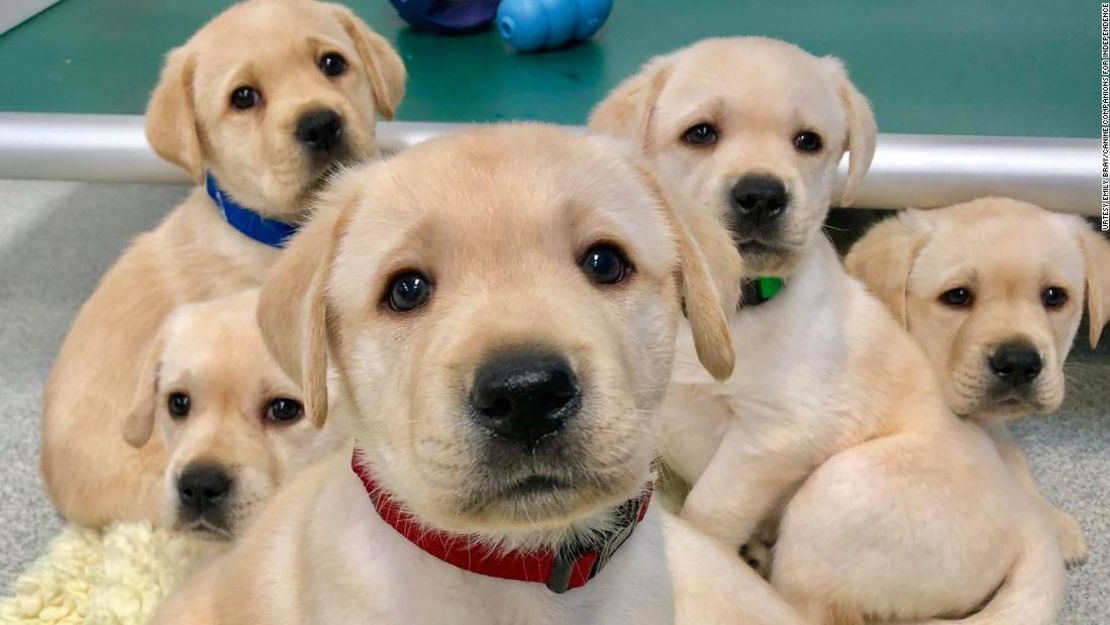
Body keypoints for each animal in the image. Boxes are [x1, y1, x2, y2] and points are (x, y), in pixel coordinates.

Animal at [594, 39, 1061, 625]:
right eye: (700, 133)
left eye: (808, 142)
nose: (761, 195)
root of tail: (1026, 525)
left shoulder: (774, 436)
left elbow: (708, 512)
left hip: (837, 491)